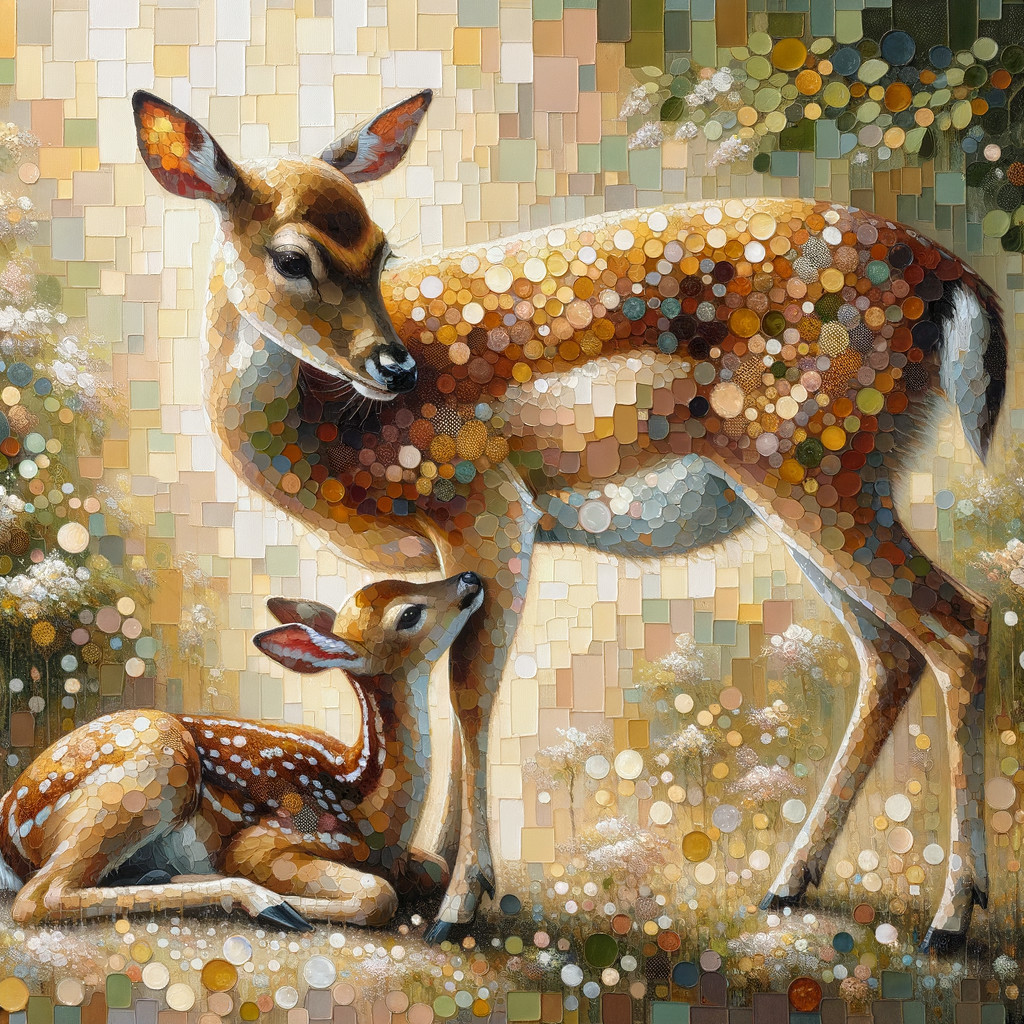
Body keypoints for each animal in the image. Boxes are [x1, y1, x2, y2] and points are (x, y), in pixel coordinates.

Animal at [0, 571, 483, 929]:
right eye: (410, 614)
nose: (470, 578)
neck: (372, 809)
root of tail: (9, 831)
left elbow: (436, 866)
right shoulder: (275, 837)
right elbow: (378, 894)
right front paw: (290, 905)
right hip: (158, 767)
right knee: (39, 897)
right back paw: (264, 903)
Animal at [132, 89, 1007, 950]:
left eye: (380, 251)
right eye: (291, 258)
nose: (395, 366)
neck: (328, 431)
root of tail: (959, 285)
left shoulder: (486, 502)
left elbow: (470, 693)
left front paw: (460, 900)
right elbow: (454, 680)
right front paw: (439, 868)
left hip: (817, 464)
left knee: (963, 626)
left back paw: (952, 915)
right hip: (821, 487)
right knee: (891, 654)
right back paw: (792, 883)